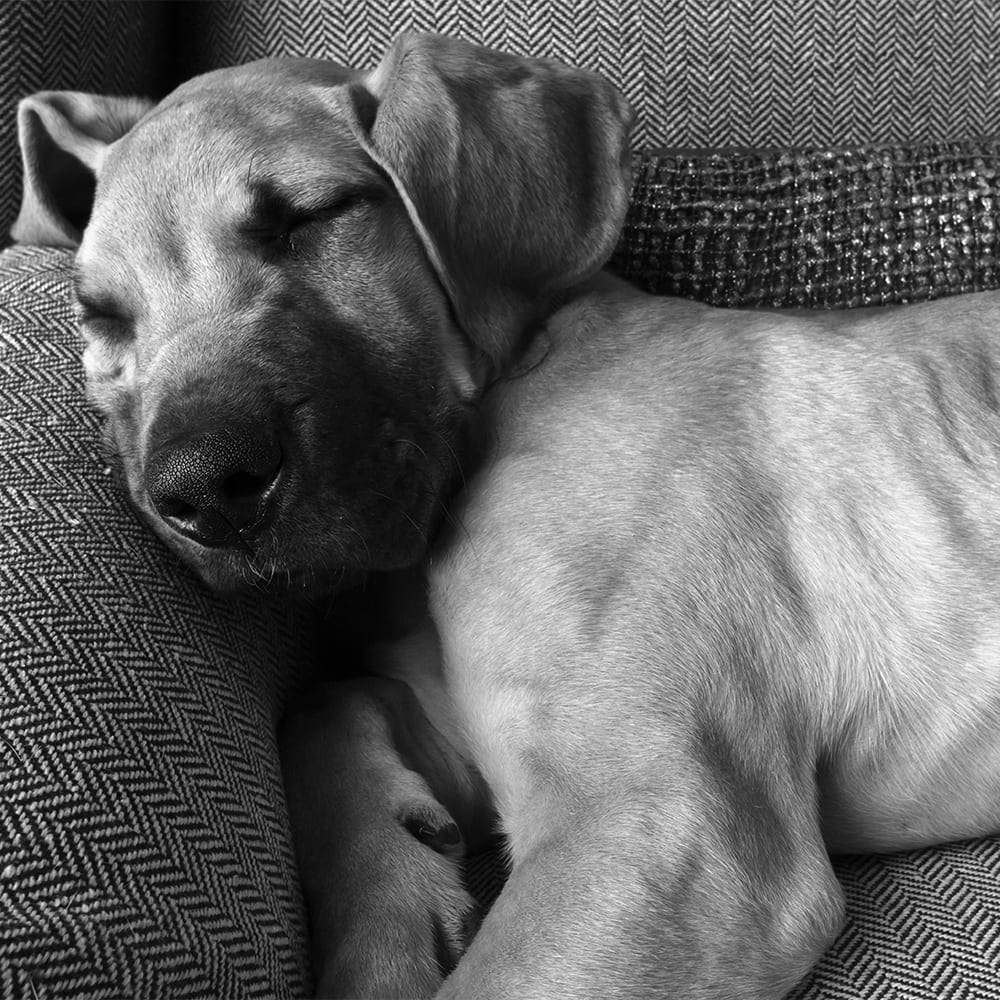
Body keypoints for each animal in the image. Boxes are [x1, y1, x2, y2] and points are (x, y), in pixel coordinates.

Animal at [13, 31, 1000, 1000]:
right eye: (100, 314)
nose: (205, 492)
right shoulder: (474, 729)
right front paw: (387, 910)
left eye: (309, 217)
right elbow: (322, 705)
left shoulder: (665, 831)